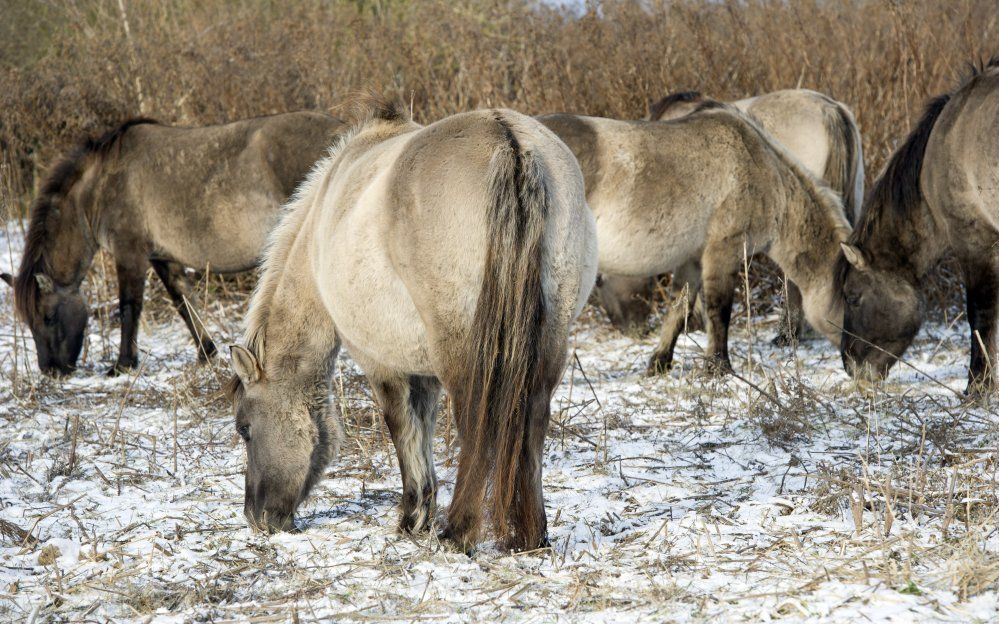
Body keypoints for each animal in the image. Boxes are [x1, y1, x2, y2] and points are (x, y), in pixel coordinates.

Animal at [0, 112, 344, 376]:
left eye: (48, 317)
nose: (51, 370)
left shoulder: (130, 253)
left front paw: (122, 365)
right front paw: (206, 353)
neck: (100, 186)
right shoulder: (162, 258)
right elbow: (183, 302)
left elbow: (129, 307)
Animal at [224, 103, 596, 556]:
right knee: (535, 419)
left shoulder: (380, 360)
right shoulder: (423, 370)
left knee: (474, 426)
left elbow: (403, 431)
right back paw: (530, 535)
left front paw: (412, 519)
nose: (257, 518)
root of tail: (507, 141)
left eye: (245, 429)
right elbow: (425, 429)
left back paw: (458, 532)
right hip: (549, 342)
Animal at [540, 103, 852, 376]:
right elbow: (719, 310)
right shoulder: (723, 251)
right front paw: (719, 367)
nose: (862, 366)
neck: (762, 168)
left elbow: (680, 309)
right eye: (852, 296)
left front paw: (660, 364)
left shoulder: (693, 259)